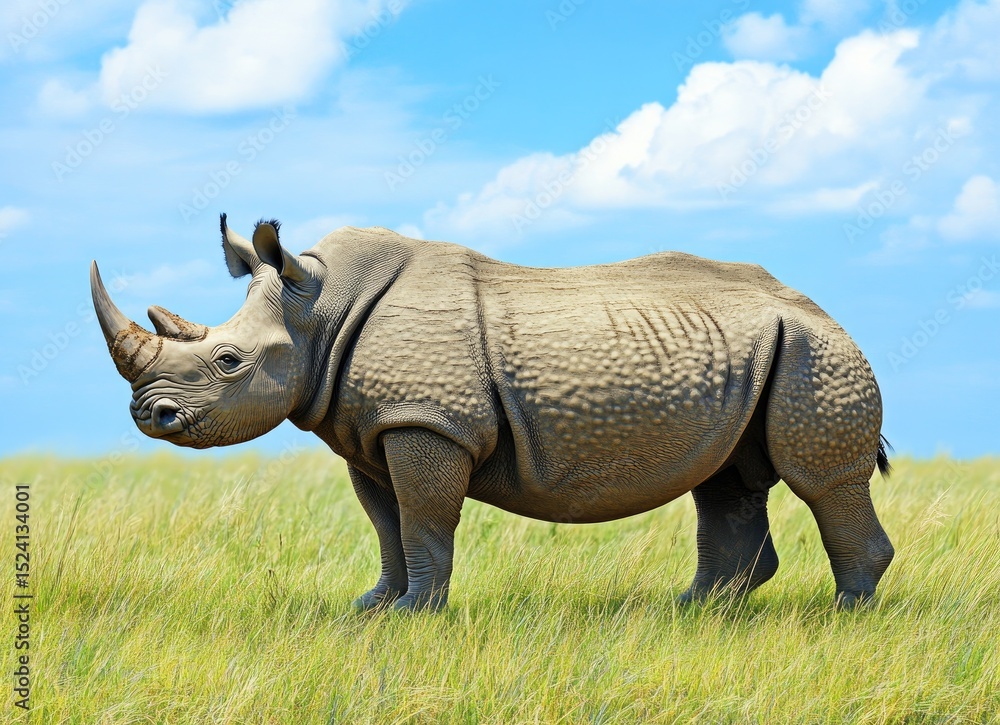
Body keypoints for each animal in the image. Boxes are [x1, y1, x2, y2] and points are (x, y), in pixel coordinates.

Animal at [91, 216, 895, 611]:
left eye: (229, 361)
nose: (149, 415)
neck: (318, 307)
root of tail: (821, 307)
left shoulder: (425, 420)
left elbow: (422, 519)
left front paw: (417, 614)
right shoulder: (373, 428)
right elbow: (386, 523)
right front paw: (372, 607)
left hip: (815, 350)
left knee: (820, 481)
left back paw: (844, 616)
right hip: (755, 354)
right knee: (725, 478)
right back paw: (694, 611)